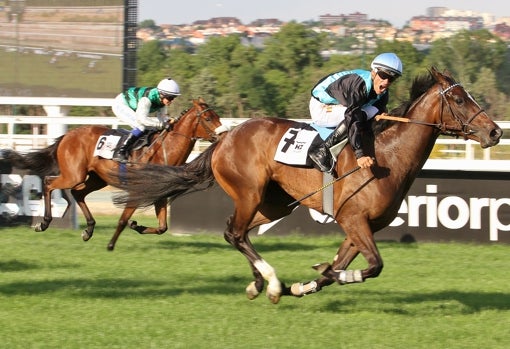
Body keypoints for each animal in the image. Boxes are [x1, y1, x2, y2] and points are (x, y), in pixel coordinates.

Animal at [1, 98, 225, 250]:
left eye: (217, 116)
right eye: (208, 117)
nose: (223, 135)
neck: (164, 150)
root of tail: (68, 135)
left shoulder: (159, 193)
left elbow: (162, 227)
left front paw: (137, 226)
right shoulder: (137, 191)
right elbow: (122, 220)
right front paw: (111, 244)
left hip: (96, 178)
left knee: (77, 193)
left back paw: (88, 230)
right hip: (74, 174)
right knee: (49, 182)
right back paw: (44, 223)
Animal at [112, 68, 502, 302]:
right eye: (458, 99)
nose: (496, 132)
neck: (387, 157)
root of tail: (224, 138)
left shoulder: (360, 226)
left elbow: (340, 266)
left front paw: (308, 282)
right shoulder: (354, 219)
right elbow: (373, 266)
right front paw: (325, 275)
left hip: (274, 204)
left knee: (236, 231)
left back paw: (260, 283)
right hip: (250, 192)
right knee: (235, 233)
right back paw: (270, 282)